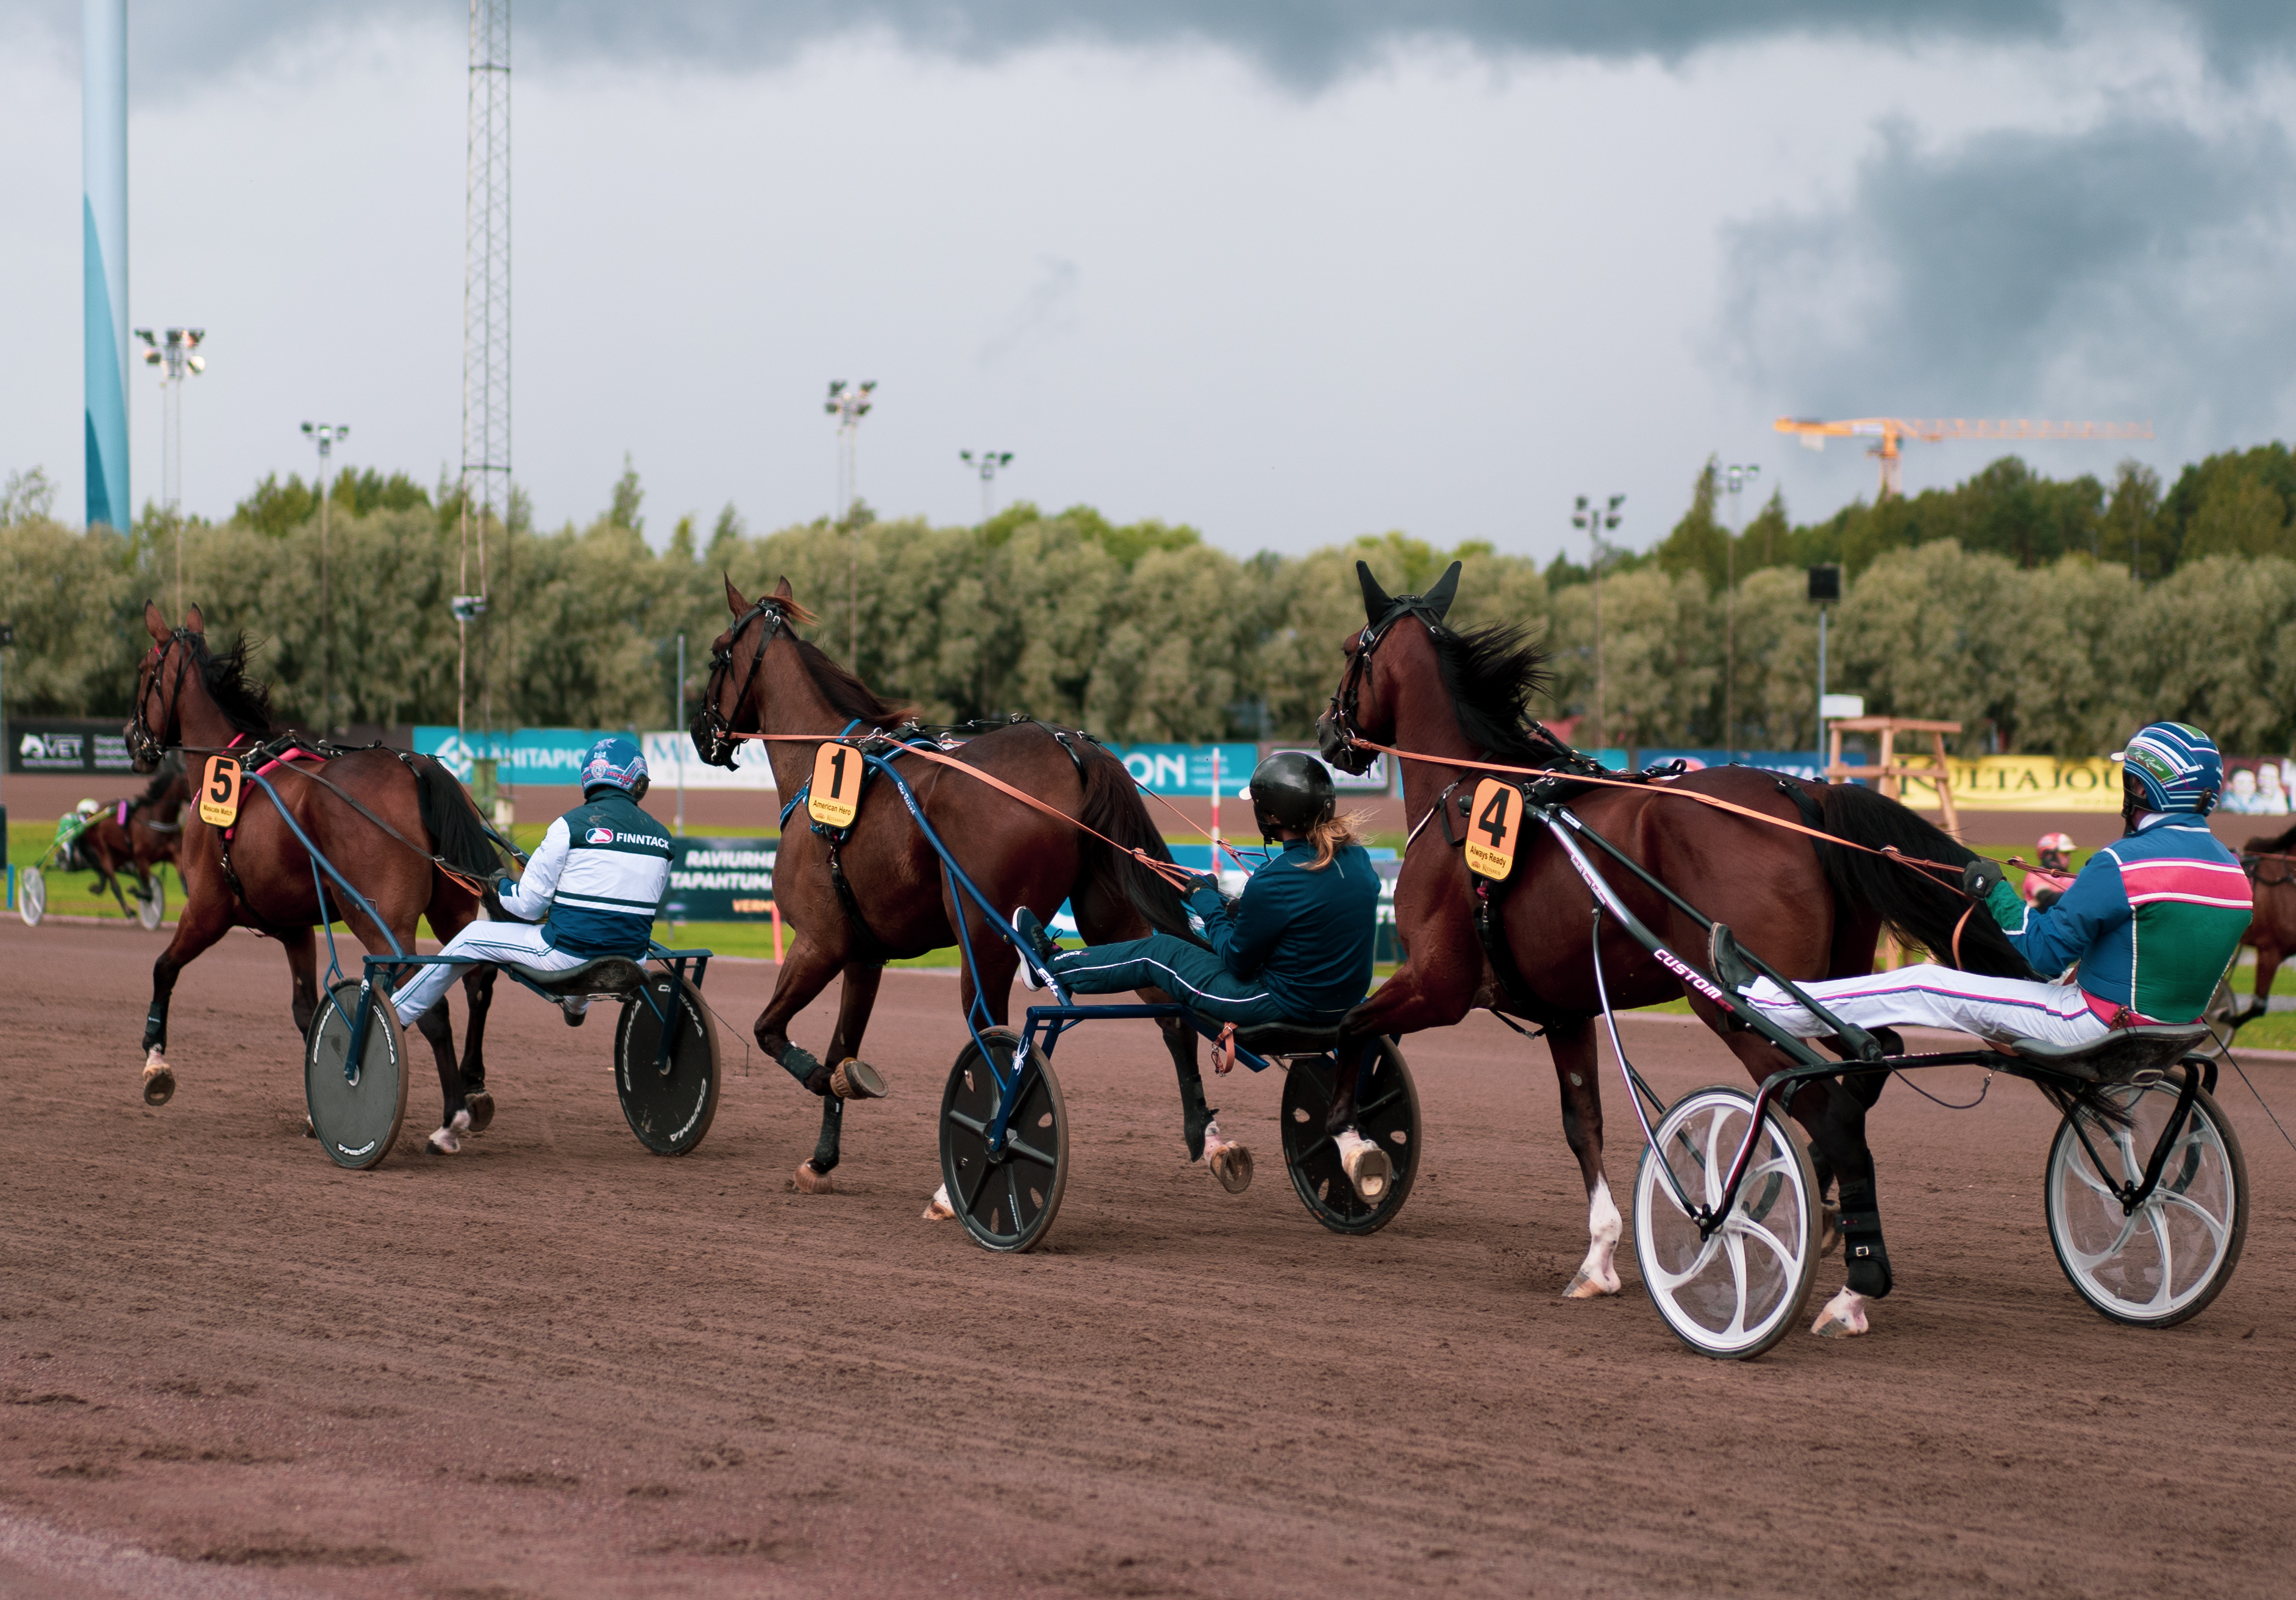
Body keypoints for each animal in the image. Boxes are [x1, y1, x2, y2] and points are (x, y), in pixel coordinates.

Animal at [77, 757, 186, 918]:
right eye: (186, 779)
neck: (158, 820)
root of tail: (91, 815)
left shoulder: (176, 854)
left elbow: (187, 886)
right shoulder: (142, 858)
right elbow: (148, 893)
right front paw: (134, 891)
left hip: (121, 854)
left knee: (105, 874)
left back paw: (97, 888)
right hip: (102, 849)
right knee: (113, 881)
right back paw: (128, 912)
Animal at [126, 596, 502, 1148]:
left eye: (143, 670)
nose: (131, 740)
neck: (231, 759)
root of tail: (415, 769)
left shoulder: (207, 911)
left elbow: (163, 969)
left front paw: (155, 1063)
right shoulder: (294, 929)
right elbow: (305, 1012)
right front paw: (313, 1107)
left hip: (378, 920)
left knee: (433, 1008)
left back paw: (450, 1119)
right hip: (451, 910)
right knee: (478, 981)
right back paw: (474, 1089)